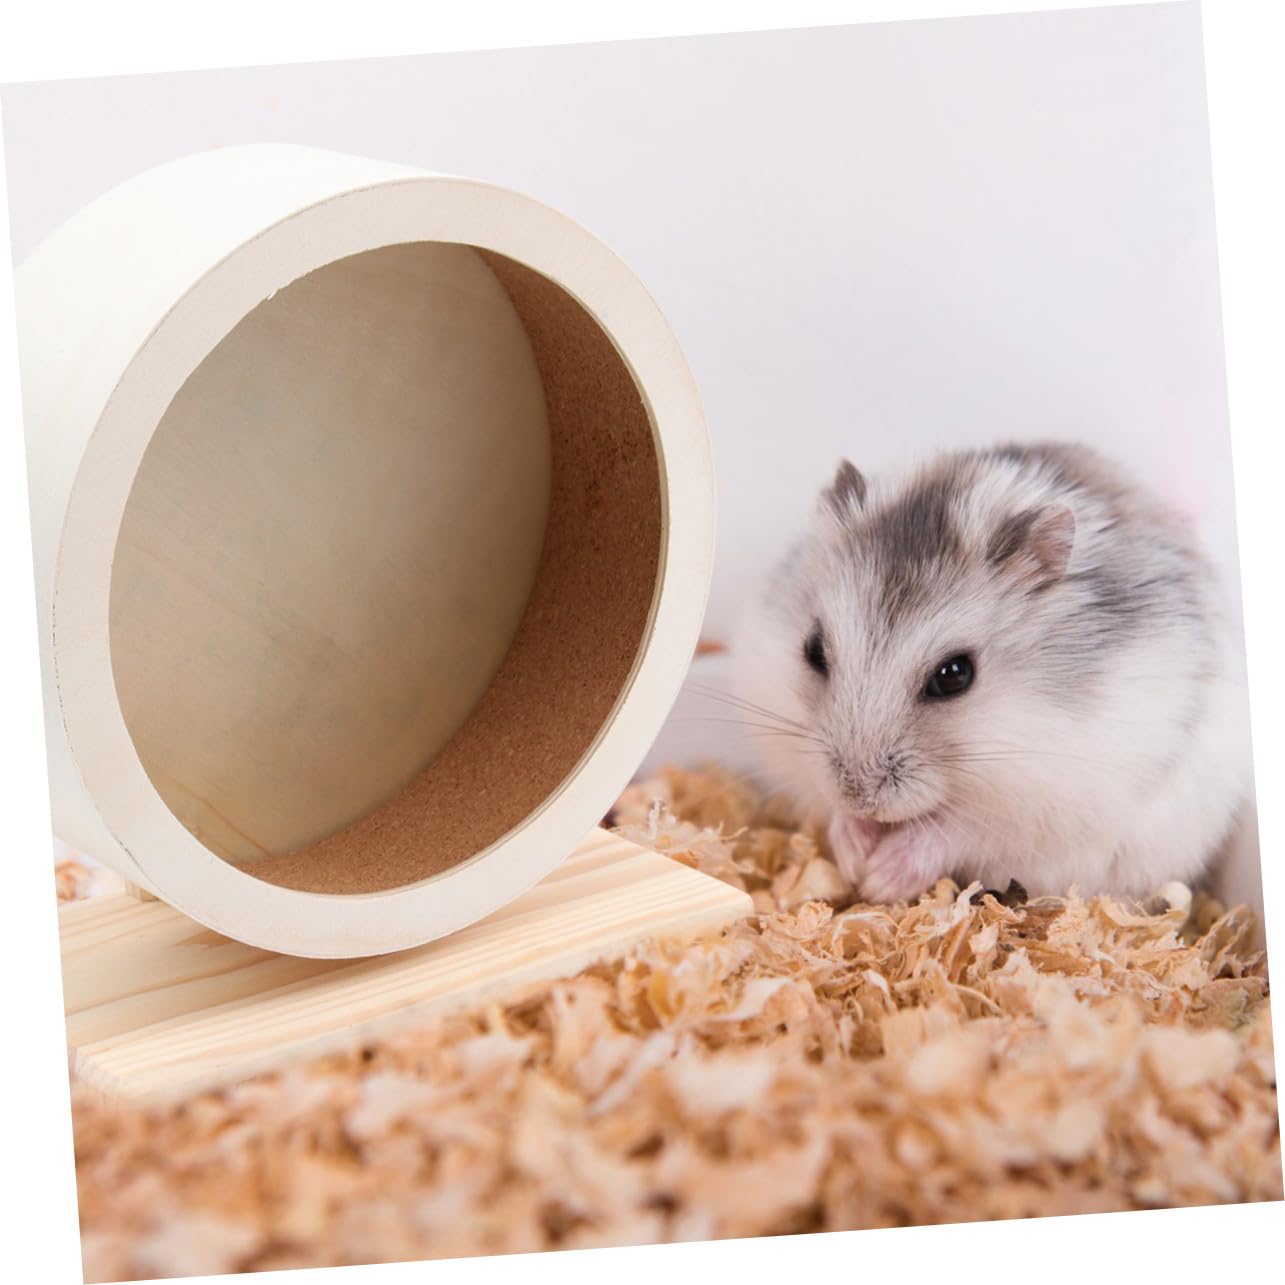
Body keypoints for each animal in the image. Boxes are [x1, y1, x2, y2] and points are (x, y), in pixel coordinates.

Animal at [731, 441, 1253, 903]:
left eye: (954, 675)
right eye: (813, 649)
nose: (858, 796)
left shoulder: (1048, 804)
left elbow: (955, 829)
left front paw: (879, 878)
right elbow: (825, 805)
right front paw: (854, 854)